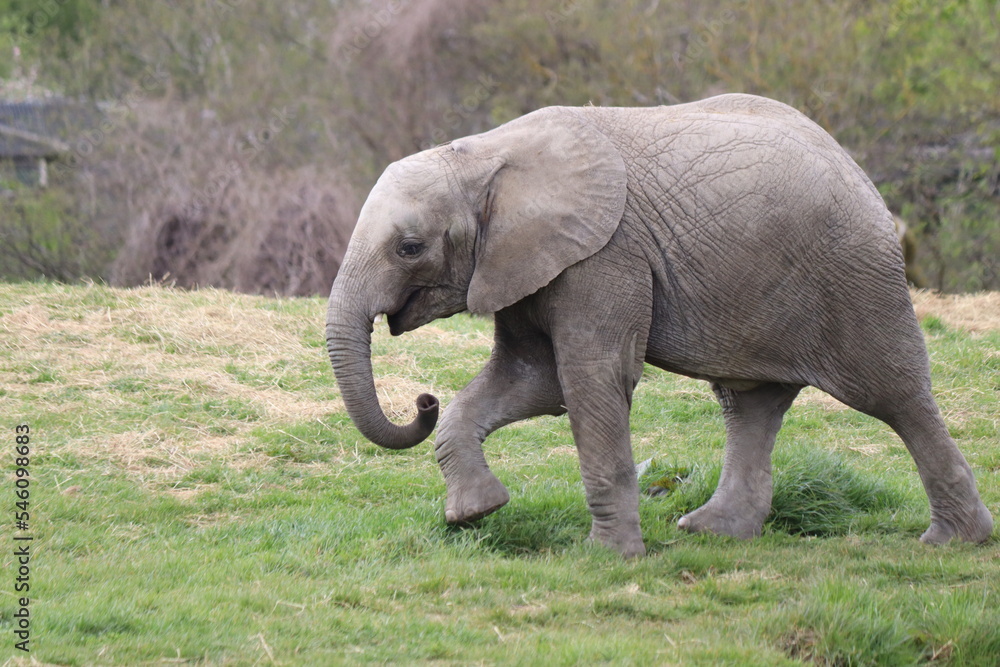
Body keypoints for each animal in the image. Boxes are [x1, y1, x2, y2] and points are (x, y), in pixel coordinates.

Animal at [325, 94, 992, 558]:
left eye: (410, 248)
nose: (422, 399)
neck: (485, 155)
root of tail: (854, 165)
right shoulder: (528, 261)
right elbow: (532, 380)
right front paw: (474, 514)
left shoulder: (605, 258)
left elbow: (591, 380)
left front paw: (607, 559)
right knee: (749, 404)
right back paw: (714, 532)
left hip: (855, 276)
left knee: (895, 395)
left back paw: (957, 542)